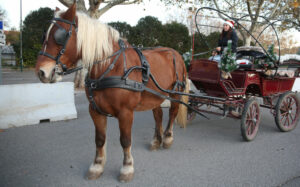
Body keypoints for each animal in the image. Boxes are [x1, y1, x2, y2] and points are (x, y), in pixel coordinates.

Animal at [35, 3, 188, 182]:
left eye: (60, 36)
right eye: (44, 36)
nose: (41, 72)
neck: (110, 67)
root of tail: (175, 53)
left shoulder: (126, 112)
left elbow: (125, 140)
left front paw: (127, 168)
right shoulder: (95, 110)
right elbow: (99, 139)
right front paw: (97, 166)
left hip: (175, 93)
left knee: (173, 112)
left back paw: (168, 138)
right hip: (154, 95)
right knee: (158, 115)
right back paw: (156, 140)